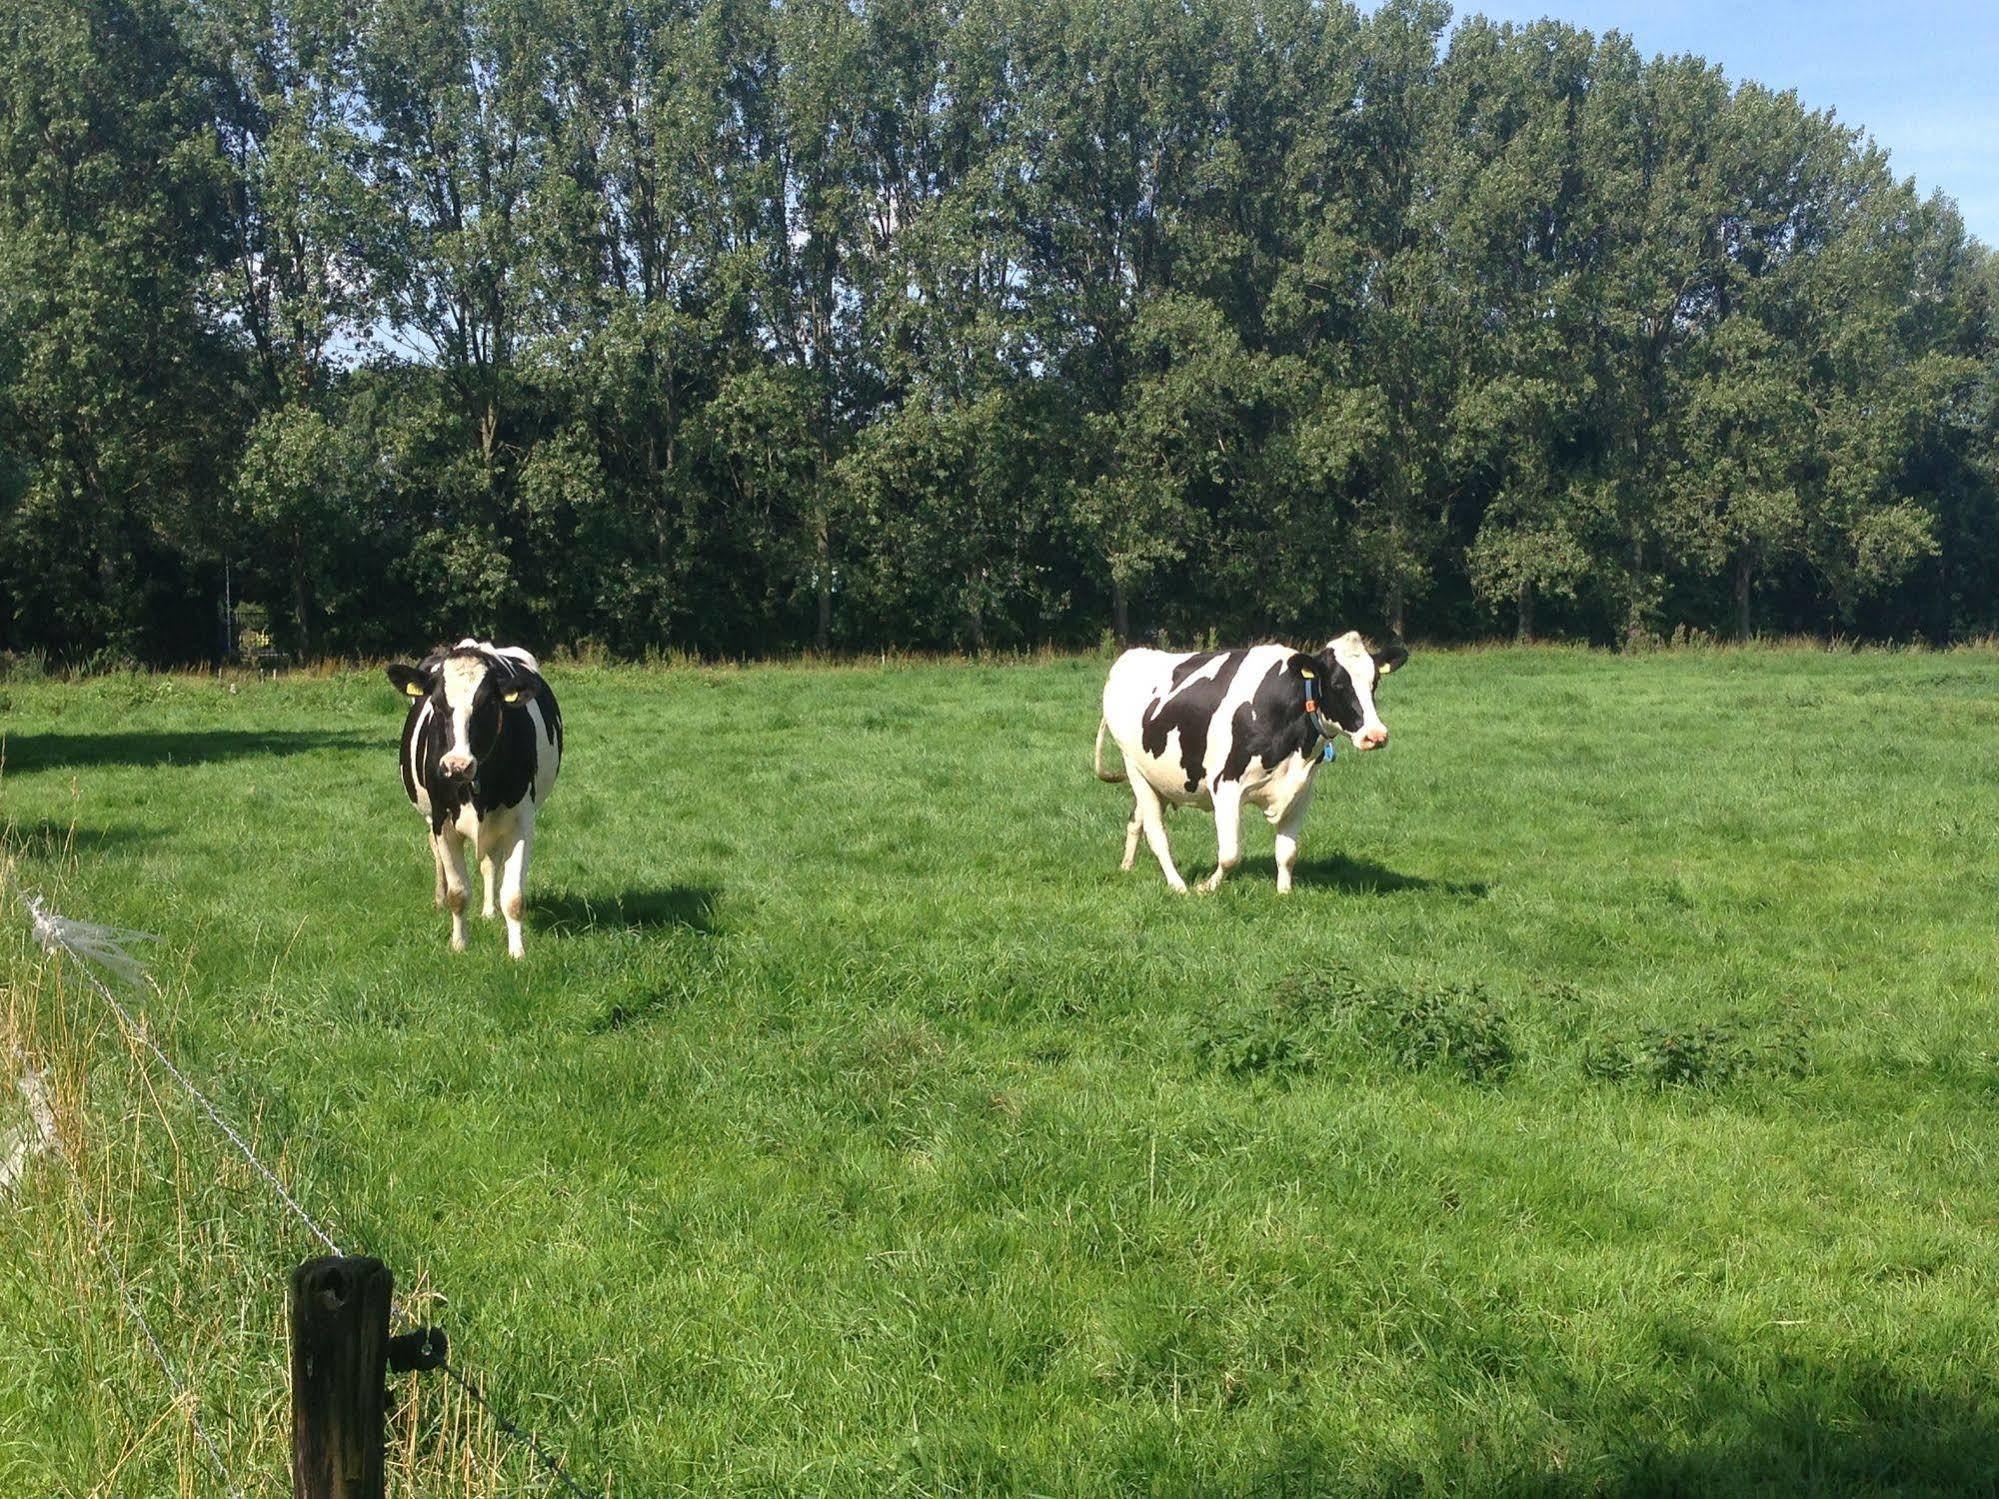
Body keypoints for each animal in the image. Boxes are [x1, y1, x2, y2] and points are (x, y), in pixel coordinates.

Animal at [381, 639, 563, 955]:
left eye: (488, 704)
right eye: (436, 704)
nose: (457, 765)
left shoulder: (520, 821)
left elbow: (513, 896)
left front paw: (517, 952)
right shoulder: (442, 820)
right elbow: (458, 892)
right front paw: (458, 944)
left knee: (490, 862)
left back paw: (489, 911)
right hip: (431, 816)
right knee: (436, 852)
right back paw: (439, 899)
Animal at [1095, 631, 1407, 891]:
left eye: (1374, 682)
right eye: (1337, 684)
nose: (1376, 735)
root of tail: (1130, 656)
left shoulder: (1302, 790)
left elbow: (1287, 852)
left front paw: (1284, 893)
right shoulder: (1226, 786)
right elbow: (1230, 854)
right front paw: (1206, 887)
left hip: (1154, 777)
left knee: (1136, 820)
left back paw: (1127, 866)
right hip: (1134, 769)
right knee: (1156, 834)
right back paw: (1178, 885)